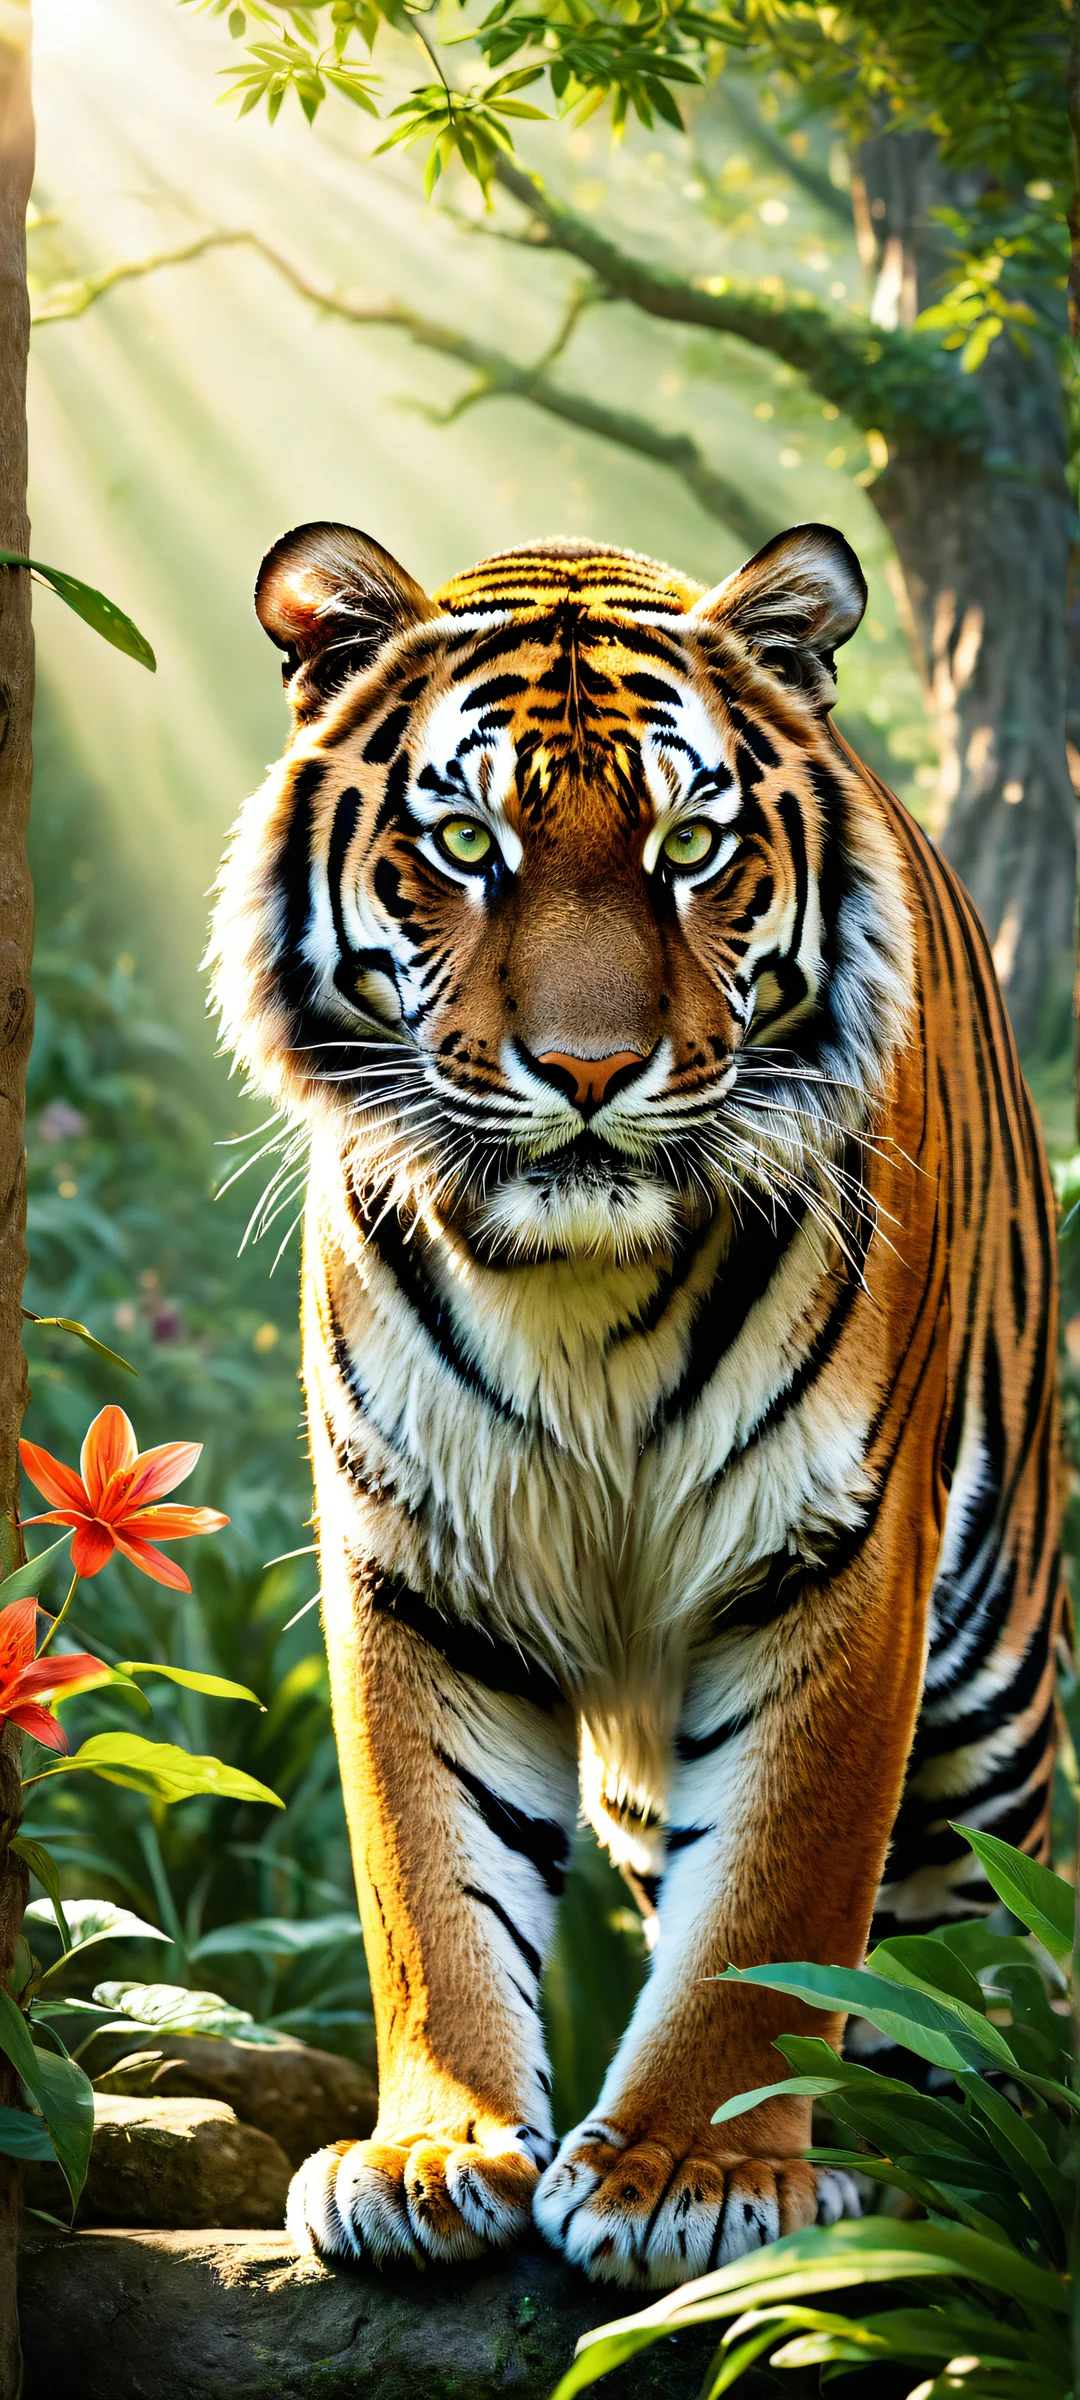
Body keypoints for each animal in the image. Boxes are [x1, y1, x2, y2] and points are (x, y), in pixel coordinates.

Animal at [211, 519, 1062, 2292]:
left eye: (690, 844)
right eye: (465, 841)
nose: (590, 1071)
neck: (573, 1291)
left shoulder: (833, 1557)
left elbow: (775, 1904)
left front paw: (692, 2168)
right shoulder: (418, 1562)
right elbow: (429, 1879)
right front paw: (432, 2154)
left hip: (995, 1677)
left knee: (970, 1923)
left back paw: (937, 2152)